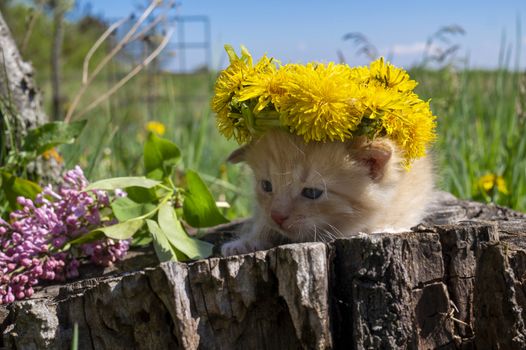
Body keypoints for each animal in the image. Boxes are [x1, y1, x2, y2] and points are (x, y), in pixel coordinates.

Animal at [221, 130, 436, 256]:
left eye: (312, 192)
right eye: (266, 186)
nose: (278, 216)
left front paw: (385, 229)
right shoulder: (263, 211)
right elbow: (262, 221)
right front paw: (246, 242)